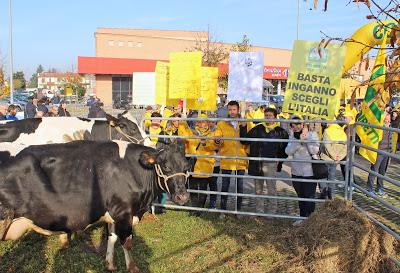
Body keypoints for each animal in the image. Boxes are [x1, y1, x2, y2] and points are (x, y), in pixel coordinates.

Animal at [0, 141, 190, 270]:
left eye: (186, 167)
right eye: (165, 166)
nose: (183, 196)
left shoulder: (114, 213)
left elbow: (111, 238)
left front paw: (110, 264)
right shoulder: (124, 212)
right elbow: (126, 242)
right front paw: (132, 267)